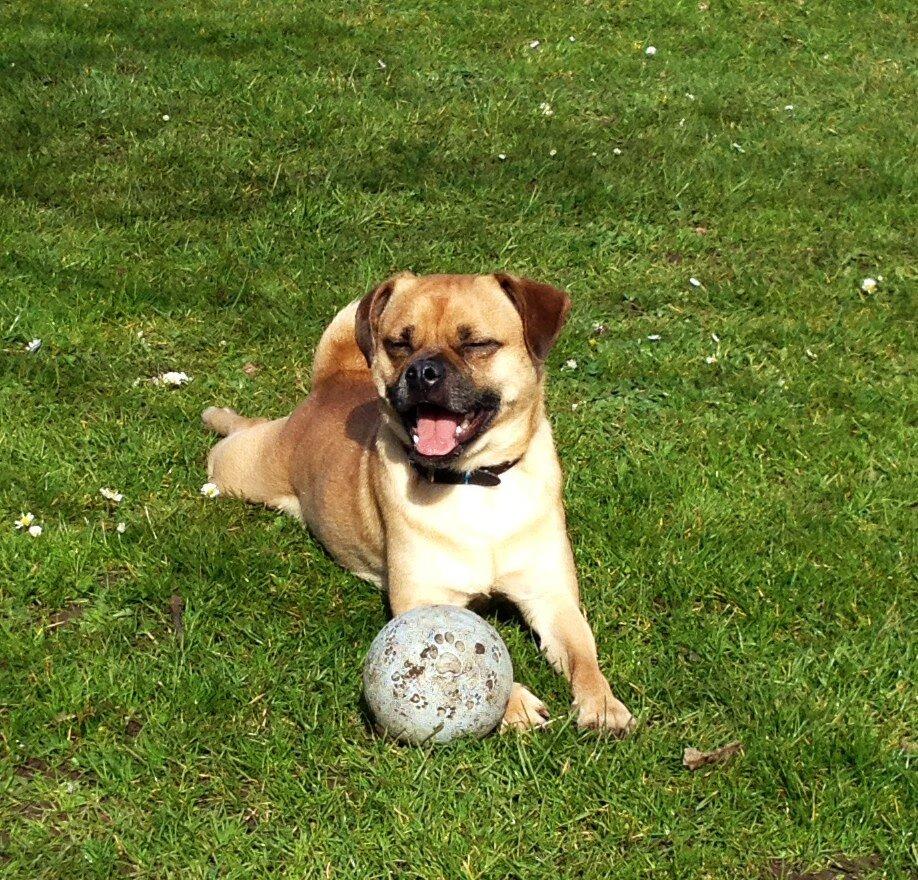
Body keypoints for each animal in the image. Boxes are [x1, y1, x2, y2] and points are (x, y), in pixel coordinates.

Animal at [207, 272, 640, 732]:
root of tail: (330, 381)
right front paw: (516, 703)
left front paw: (603, 703)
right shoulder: (424, 598)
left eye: (477, 344)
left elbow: (583, 654)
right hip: (248, 467)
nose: (422, 372)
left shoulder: (551, 597)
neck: (475, 483)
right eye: (399, 343)